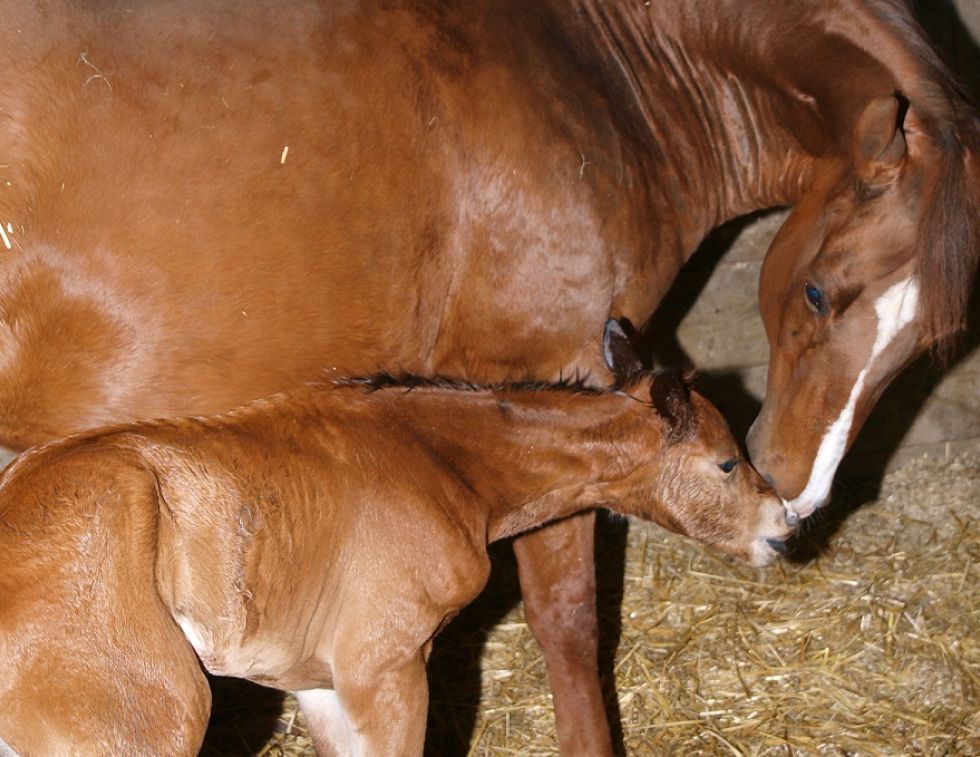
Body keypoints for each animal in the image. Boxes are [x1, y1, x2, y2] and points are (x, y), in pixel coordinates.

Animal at [0, 322, 793, 756]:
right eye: (726, 462)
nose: (782, 527)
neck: (437, 458)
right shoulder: (387, 663)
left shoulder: (319, 682)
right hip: (149, 718)